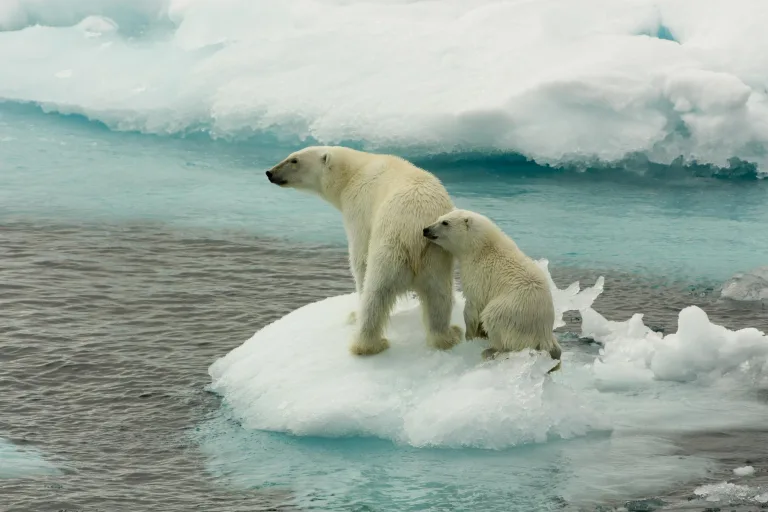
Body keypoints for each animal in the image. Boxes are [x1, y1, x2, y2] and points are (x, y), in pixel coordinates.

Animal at [265, 146, 463, 356]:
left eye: (294, 160)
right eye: (290, 156)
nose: (270, 173)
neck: (354, 172)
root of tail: (414, 232)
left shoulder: (359, 207)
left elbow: (359, 255)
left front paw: (354, 313)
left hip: (390, 248)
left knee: (376, 293)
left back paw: (367, 343)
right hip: (436, 256)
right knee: (439, 296)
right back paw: (447, 336)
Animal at [422, 208, 562, 372]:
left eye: (445, 222)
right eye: (439, 218)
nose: (426, 230)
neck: (482, 247)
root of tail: (543, 333)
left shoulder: (479, 274)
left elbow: (473, 305)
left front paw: (470, 336)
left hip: (511, 311)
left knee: (493, 318)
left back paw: (491, 350)